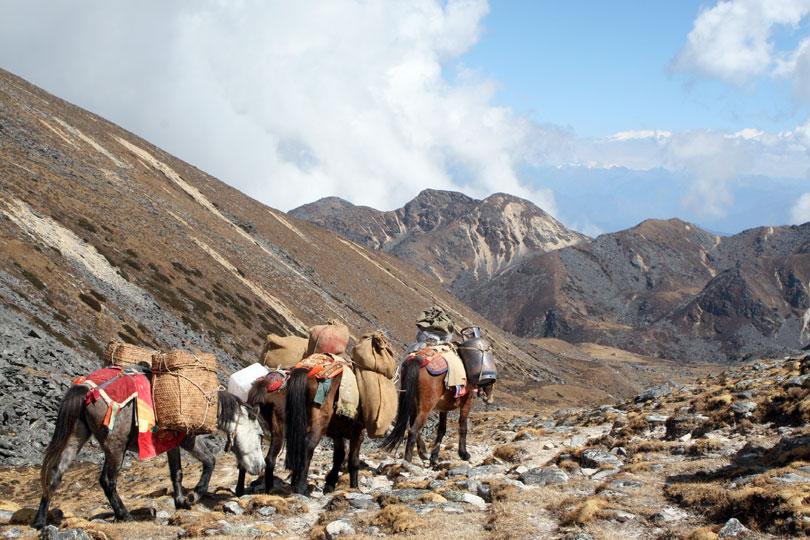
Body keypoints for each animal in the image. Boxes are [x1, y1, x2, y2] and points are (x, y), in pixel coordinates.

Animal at [31, 382, 262, 528]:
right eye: (260, 434)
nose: (259, 467)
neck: (204, 404)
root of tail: (88, 392)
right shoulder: (188, 439)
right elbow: (210, 461)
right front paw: (194, 495)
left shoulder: (172, 443)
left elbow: (177, 472)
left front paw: (181, 502)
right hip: (116, 446)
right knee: (107, 480)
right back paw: (124, 515)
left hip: (75, 438)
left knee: (54, 476)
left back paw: (39, 521)